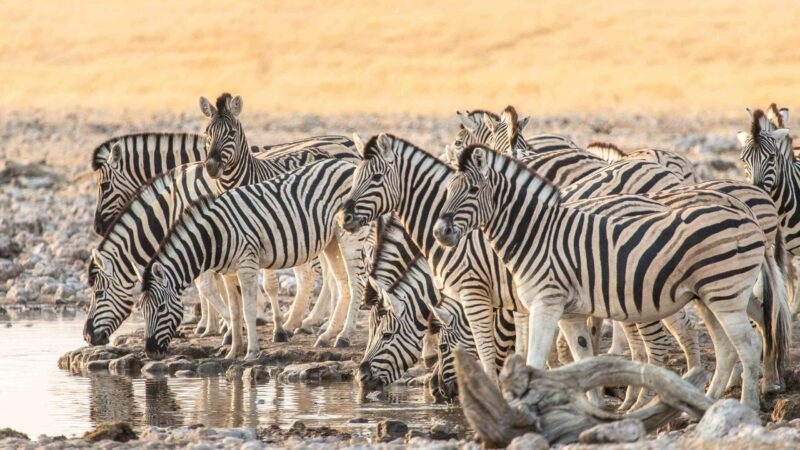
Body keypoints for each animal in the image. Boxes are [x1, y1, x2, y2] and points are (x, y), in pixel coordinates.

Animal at [139, 158, 367, 360]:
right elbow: (235, 311)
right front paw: (233, 352)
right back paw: (328, 335)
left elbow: (248, 310)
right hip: (332, 242)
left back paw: (343, 336)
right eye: (142, 310)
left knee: (356, 283)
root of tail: (347, 164)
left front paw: (251, 352)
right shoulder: (228, 273)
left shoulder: (246, 265)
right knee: (343, 283)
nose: (150, 352)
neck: (214, 235)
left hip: (349, 236)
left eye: (161, 308)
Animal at [198, 93, 363, 345]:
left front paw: (276, 330)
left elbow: (269, 285)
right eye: (207, 132)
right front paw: (230, 331)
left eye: (232, 133)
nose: (211, 167)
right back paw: (319, 323)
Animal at [434, 145, 785, 409]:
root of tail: (748, 217)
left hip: (725, 294)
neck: (535, 234)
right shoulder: (568, 311)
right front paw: (590, 406)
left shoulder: (546, 302)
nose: (440, 231)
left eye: (473, 190)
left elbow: (535, 356)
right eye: (447, 190)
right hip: (710, 297)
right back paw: (708, 403)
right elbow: (579, 356)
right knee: (732, 343)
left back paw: (747, 404)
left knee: (747, 344)